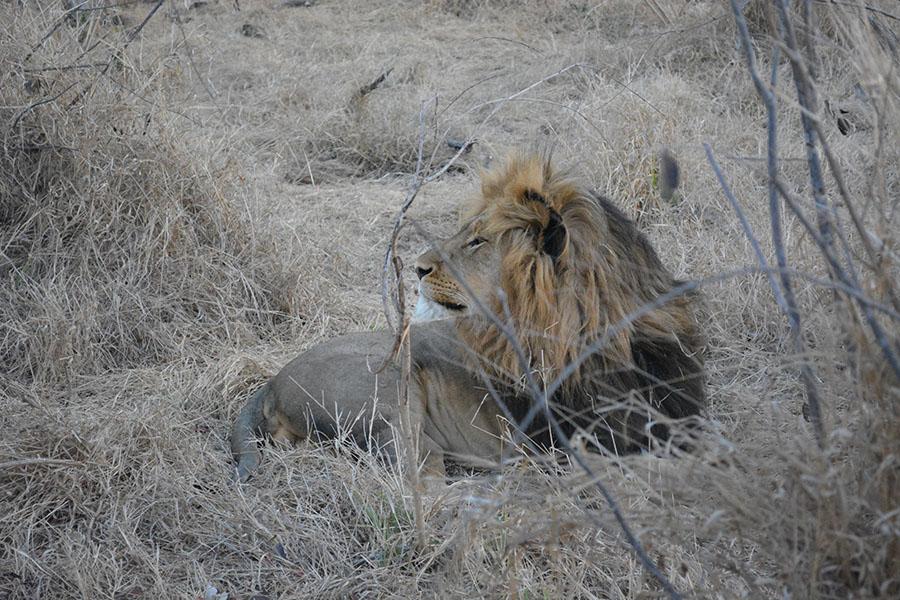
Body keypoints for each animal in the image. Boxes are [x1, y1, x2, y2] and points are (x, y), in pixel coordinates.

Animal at [229, 152, 708, 486]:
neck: (600, 335)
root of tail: (270, 383)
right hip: (393, 390)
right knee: (418, 474)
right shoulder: (564, 440)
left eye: (477, 241)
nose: (418, 268)